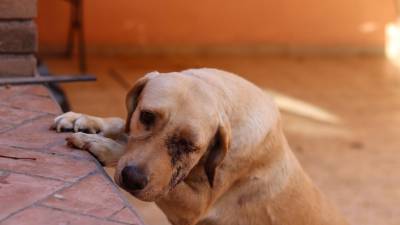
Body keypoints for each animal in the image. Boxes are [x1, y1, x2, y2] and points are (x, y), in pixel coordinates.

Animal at [52, 69, 346, 225]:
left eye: (189, 145)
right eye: (146, 116)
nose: (132, 179)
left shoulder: (193, 207)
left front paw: (99, 144)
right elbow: (119, 124)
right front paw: (85, 120)